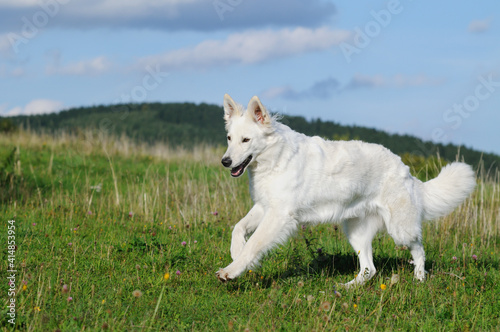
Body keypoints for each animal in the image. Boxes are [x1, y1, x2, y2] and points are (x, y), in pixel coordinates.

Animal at [216, 94, 476, 286]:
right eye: (229, 138)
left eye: (246, 140)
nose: (225, 162)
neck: (275, 158)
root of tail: (407, 172)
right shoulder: (265, 206)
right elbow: (238, 228)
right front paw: (235, 252)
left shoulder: (279, 215)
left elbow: (254, 244)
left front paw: (232, 270)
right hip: (356, 231)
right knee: (370, 269)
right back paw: (346, 288)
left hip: (400, 230)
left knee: (419, 249)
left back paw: (419, 278)